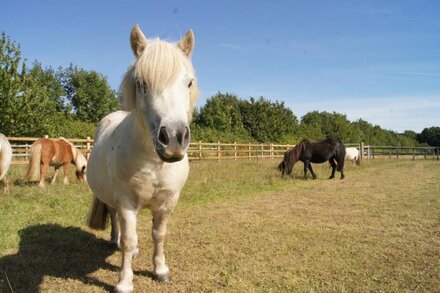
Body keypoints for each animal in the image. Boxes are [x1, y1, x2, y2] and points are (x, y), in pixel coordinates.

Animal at [86, 25, 199, 292]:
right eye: (142, 83)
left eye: (189, 82)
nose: (174, 137)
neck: (154, 162)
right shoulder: (126, 202)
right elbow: (129, 239)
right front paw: (124, 282)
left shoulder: (168, 202)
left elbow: (159, 235)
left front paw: (161, 270)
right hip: (112, 198)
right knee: (116, 220)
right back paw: (115, 241)